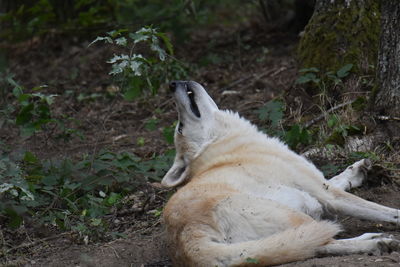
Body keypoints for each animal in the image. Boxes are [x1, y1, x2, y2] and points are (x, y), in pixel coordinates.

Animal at [160, 80, 400, 266]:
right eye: (180, 127)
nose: (171, 84)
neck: (225, 145)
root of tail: (185, 236)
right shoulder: (326, 195)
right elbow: (386, 211)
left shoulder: (319, 186)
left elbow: (338, 178)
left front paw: (357, 170)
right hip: (297, 216)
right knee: (323, 242)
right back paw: (377, 241)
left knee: (315, 247)